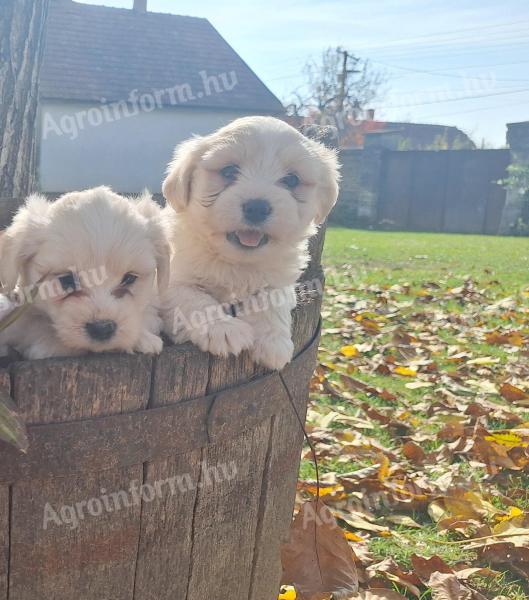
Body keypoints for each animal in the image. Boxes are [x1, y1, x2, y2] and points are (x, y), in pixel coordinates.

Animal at [161, 116, 338, 370]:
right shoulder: (169, 282)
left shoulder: (280, 282)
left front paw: (274, 342)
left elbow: (272, 300)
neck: (238, 262)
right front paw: (223, 329)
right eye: (228, 171)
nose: (257, 207)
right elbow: (193, 299)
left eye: (292, 179)